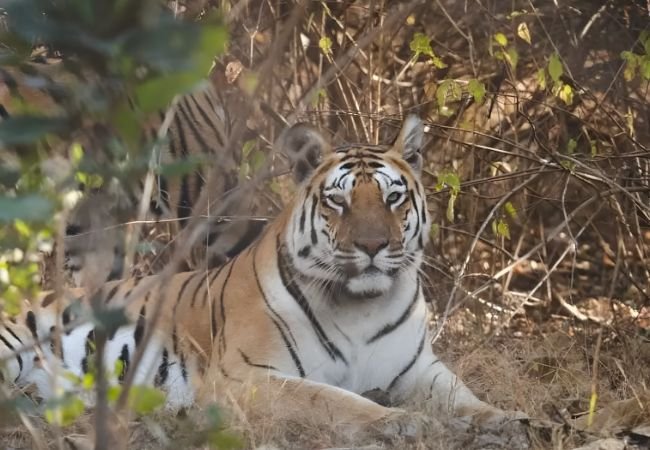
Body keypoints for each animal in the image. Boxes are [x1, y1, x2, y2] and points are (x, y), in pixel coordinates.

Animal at [0, 116, 525, 441]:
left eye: (392, 198)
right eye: (339, 201)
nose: (373, 246)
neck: (364, 303)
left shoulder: (420, 369)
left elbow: (465, 397)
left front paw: (507, 419)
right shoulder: (246, 377)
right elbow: (333, 400)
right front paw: (400, 422)